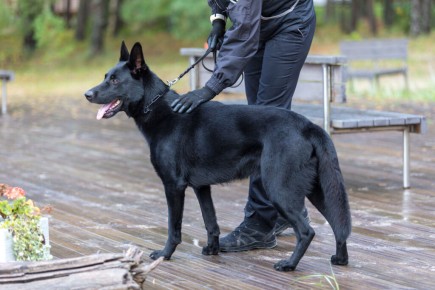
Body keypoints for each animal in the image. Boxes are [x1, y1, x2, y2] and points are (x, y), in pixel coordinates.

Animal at [84, 41, 350, 272]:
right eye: (105, 76)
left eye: (115, 80)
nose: (87, 94)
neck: (160, 109)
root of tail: (307, 125)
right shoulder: (202, 187)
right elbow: (210, 221)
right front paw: (212, 250)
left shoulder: (173, 186)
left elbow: (174, 227)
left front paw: (165, 254)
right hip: (318, 189)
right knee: (339, 224)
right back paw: (340, 259)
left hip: (279, 189)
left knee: (307, 231)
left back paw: (290, 265)